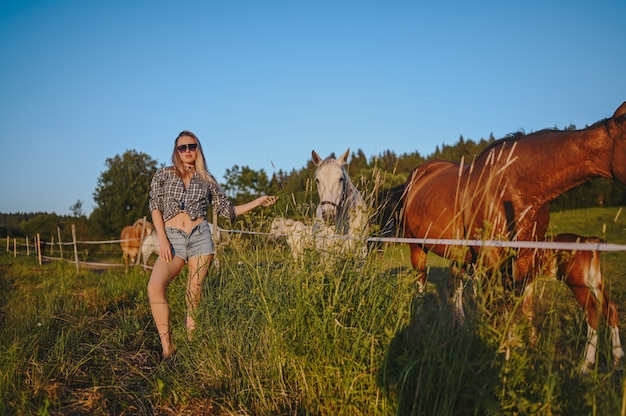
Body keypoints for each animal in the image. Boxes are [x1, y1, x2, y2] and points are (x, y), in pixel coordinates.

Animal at [400, 102, 624, 324]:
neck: (513, 185)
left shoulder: (523, 256)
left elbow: (513, 302)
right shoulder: (489, 258)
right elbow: (493, 304)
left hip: (458, 253)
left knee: (455, 287)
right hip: (417, 246)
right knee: (421, 281)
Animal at [524, 234, 620, 374]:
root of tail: (587, 240)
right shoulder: (528, 281)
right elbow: (528, 310)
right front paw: (533, 347)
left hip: (576, 283)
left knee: (592, 309)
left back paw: (586, 364)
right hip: (594, 280)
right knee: (610, 307)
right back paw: (618, 358)